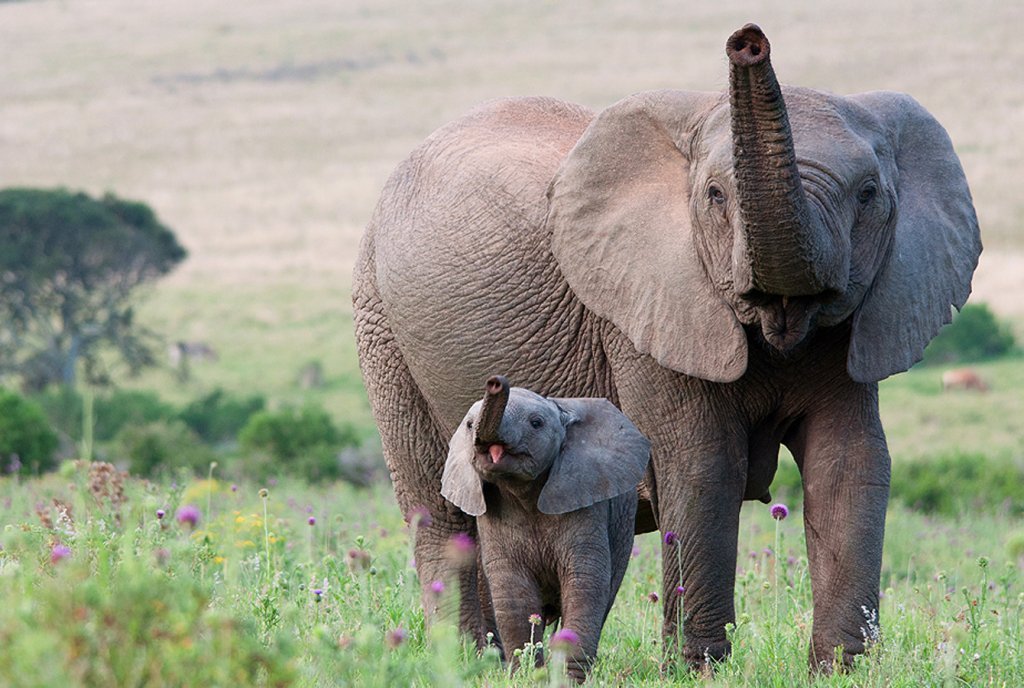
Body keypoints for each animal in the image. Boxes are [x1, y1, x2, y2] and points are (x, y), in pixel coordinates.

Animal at [442, 375, 650, 681]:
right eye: (469, 425)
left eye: (536, 423)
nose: (495, 382)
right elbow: (512, 590)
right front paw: (527, 676)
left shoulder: (583, 500)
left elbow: (584, 583)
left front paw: (568, 680)